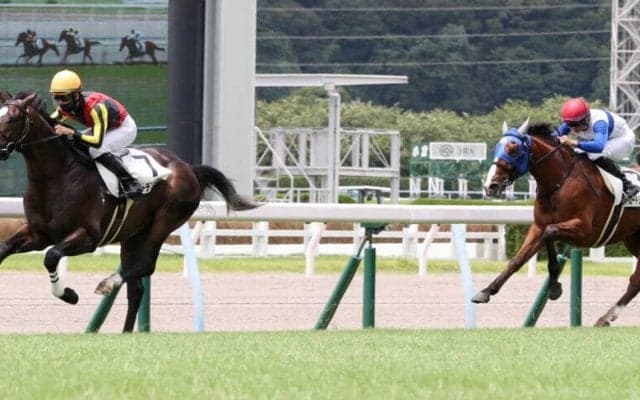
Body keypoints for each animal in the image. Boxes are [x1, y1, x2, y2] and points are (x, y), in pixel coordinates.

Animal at [0, 91, 258, 332]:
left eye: (12, 118)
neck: (59, 176)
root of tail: (189, 168)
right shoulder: (38, 233)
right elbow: (6, 248)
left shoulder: (88, 236)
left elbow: (52, 256)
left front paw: (69, 294)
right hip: (133, 235)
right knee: (136, 288)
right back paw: (126, 332)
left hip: (164, 221)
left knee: (144, 265)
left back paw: (108, 284)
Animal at [474, 119, 640, 327]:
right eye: (496, 147)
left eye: (513, 149)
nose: (490, 185)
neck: (560, 182)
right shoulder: (537, 227)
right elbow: (518, 259)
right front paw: (486, 291)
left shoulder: (585, 232)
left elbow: (550, 232)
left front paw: (554, 287)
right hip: (633, 240)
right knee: (636, 281)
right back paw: (605, 318)